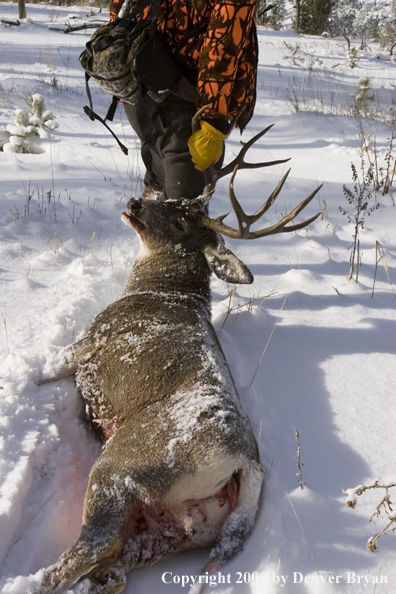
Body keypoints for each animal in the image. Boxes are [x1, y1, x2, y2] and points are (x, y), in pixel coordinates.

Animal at [34, 127, 322, 592]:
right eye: (172, 200)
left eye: (182, 221)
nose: (136, 202)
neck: (162, 287)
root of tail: (246, 463)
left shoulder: (92, 340)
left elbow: (45, 366)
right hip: (174, 529)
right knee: (116, 565)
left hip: (124, 464)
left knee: (92, 545)